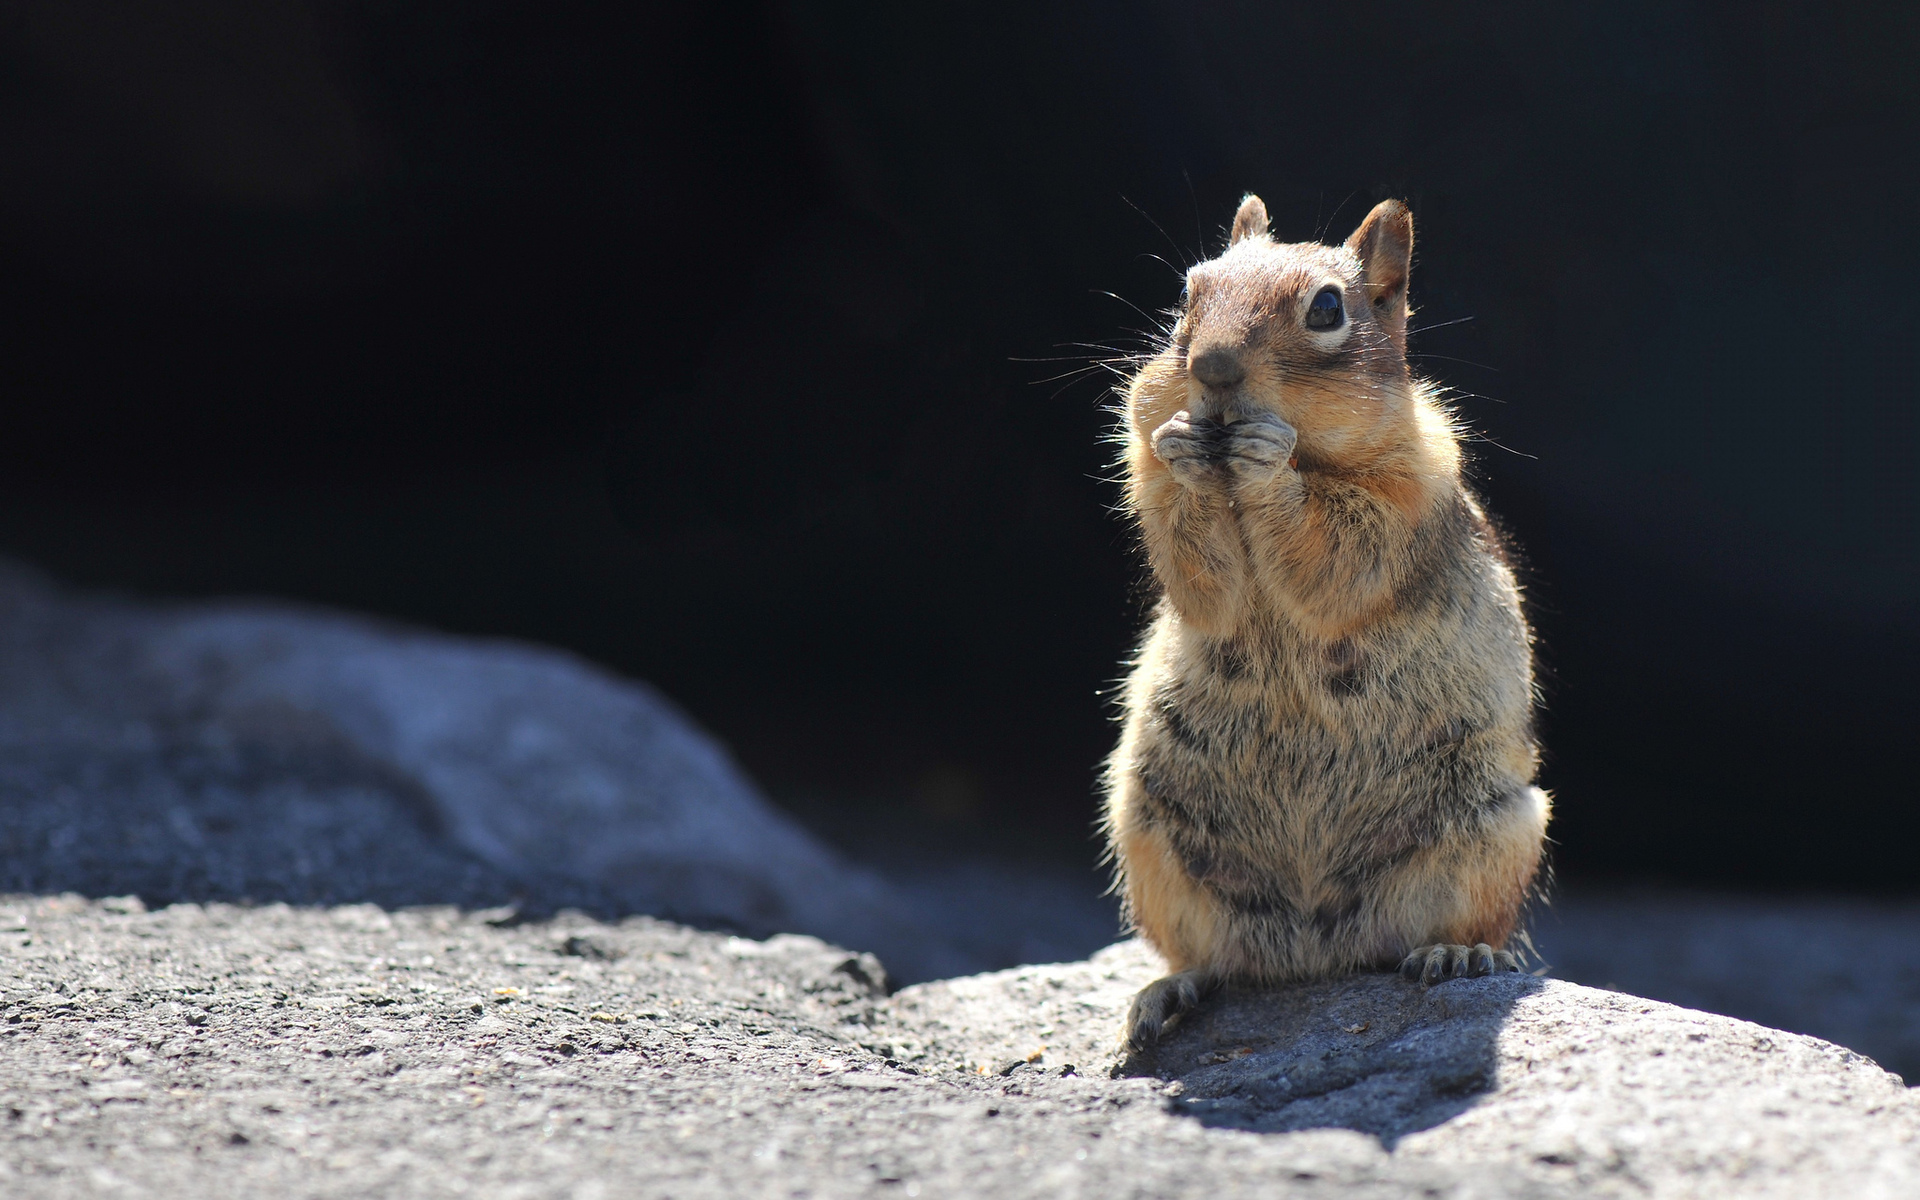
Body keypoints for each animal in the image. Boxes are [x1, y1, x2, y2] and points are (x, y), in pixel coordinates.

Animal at [1105, 192, 1551, 1044]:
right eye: (1187, 294)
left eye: (1326, 309)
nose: (1211, 369)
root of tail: (1315, 951)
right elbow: (1197, 573)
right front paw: (1183, 448)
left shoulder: (1402, 494)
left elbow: (1337, 557)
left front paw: (1271, 462)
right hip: (1149, 834)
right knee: (1213, 958)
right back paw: (1168, 993)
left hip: (1493, 827)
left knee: (1458, 926)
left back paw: (1455, 955)